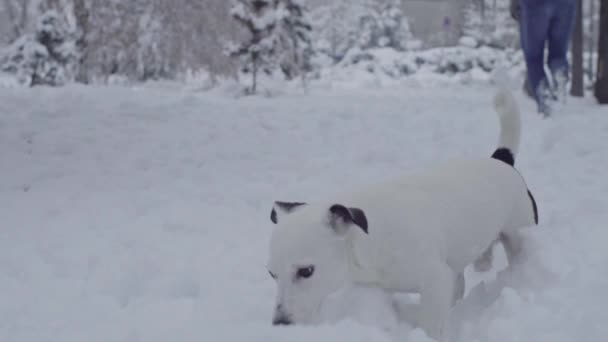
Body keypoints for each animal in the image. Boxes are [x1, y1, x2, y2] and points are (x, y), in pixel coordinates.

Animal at [266, 88, 536, 340]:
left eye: (306, 271)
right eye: (271, 274)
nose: (280, 324)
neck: (372, 238)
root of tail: (501, 160)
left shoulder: (435, 280)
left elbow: (431, 325)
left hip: (517, 231)